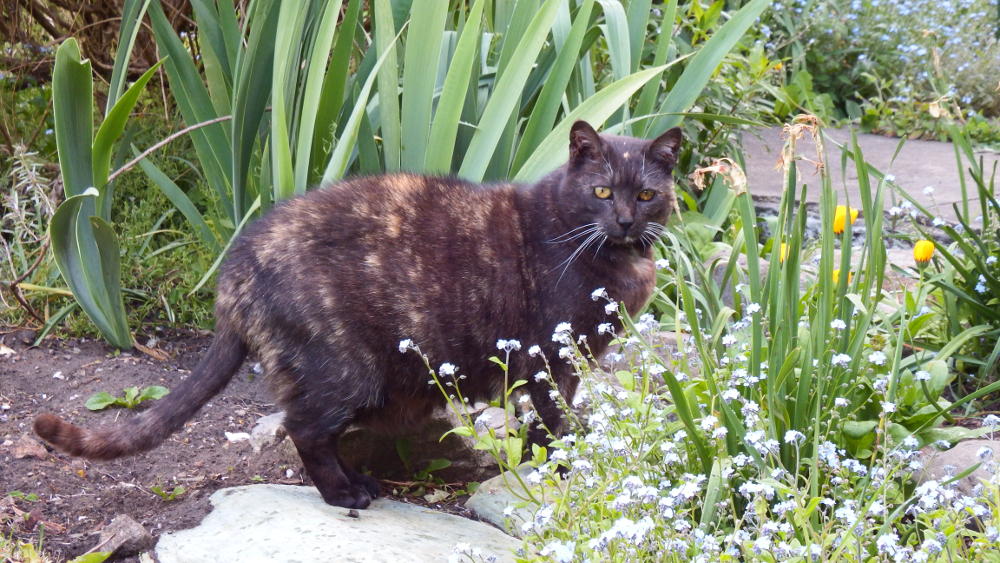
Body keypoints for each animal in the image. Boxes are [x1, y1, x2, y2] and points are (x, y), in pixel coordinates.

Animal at [37, 121, 680, 508]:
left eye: (647, 194)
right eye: (602, 192)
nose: (625, 220)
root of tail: (236, 266)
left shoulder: (562, 365)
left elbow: (546, 426)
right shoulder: (548, 359)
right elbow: (553, 424)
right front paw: (570, 470)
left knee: (320, 431)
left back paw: (360, 481)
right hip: (345, 372)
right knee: (305, 429)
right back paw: (344, 495)